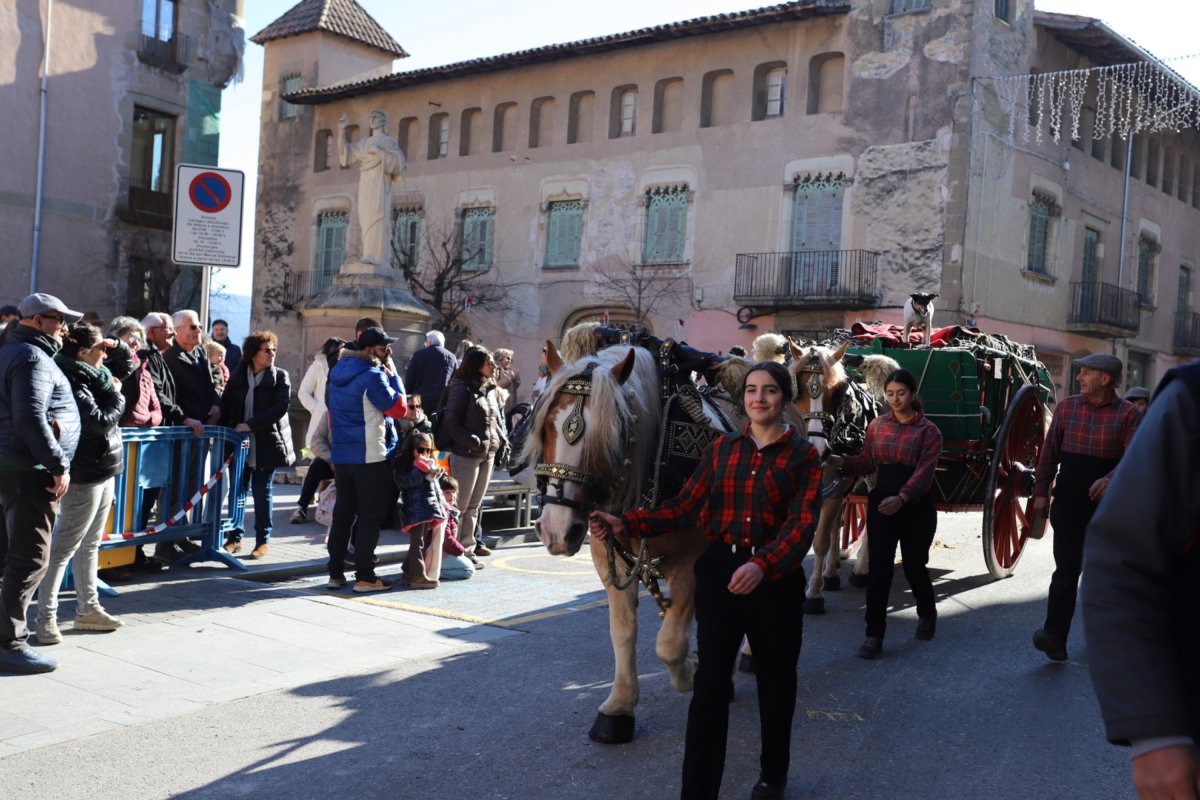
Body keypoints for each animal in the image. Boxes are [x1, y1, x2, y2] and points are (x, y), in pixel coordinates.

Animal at [520, 331, 734, 743]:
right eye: (547, 427)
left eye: (611, 433)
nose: (557, 530)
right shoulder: (611, 558)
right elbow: (622, 632)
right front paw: (618, 708)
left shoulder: (689, 565)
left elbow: (669, 644)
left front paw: (689, 670)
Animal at [787, 338, 902, 614]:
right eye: (799, 389)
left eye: (836, 391)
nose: (819, 449)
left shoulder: (834, 491)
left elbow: (819, 541)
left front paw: (813, 594)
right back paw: (832, 571)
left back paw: (860, 571)